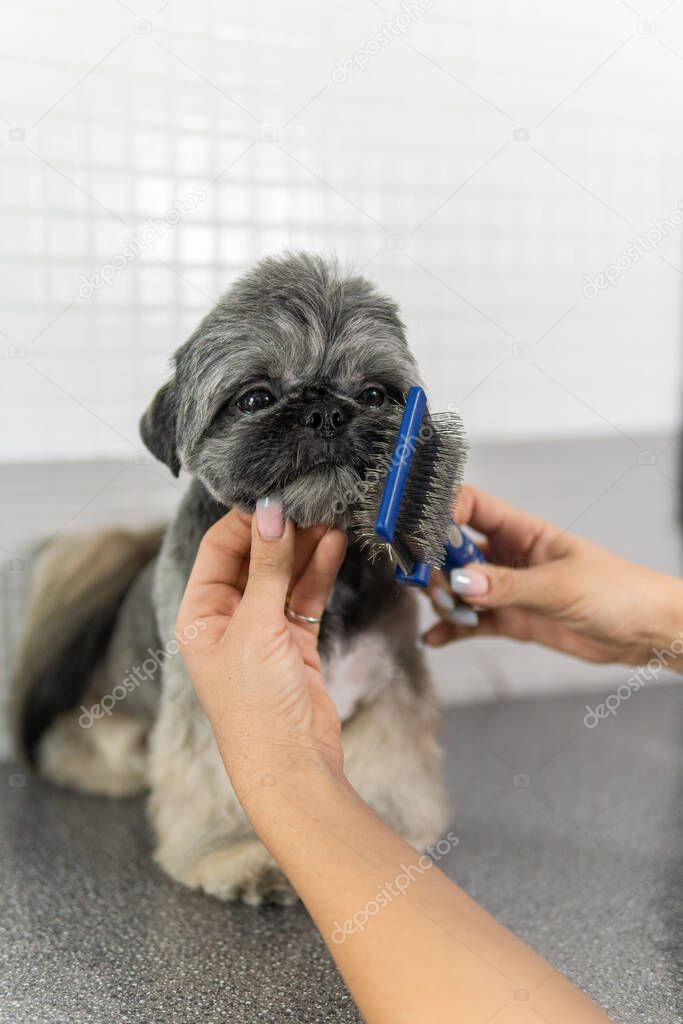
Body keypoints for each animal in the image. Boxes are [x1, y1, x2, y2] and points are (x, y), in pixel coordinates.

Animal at [13, 253, 450, 905]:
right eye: (254, 398)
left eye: (375, 393)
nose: (326, 412)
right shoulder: (217, 702)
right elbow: (210, 785)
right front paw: (232, 856)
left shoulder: (388, 687)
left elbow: (392, 768)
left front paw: (392, 836)